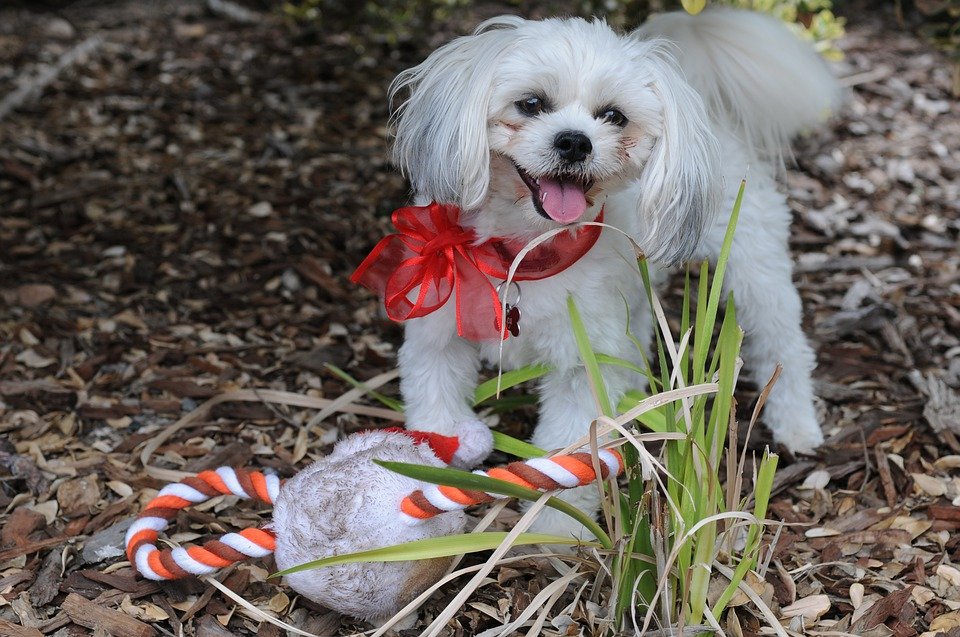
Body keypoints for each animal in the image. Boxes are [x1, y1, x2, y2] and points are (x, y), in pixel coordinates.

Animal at [358, 7, 840, 536]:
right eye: (531, 103)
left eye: (614, 116)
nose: (574, 141)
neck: (523, 255)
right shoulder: (437, 338)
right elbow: (437, 412)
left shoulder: (580, 364)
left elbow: (565, 460)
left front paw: (550, 532)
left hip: (753, 266)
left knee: (784, 345)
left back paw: (797, 423)